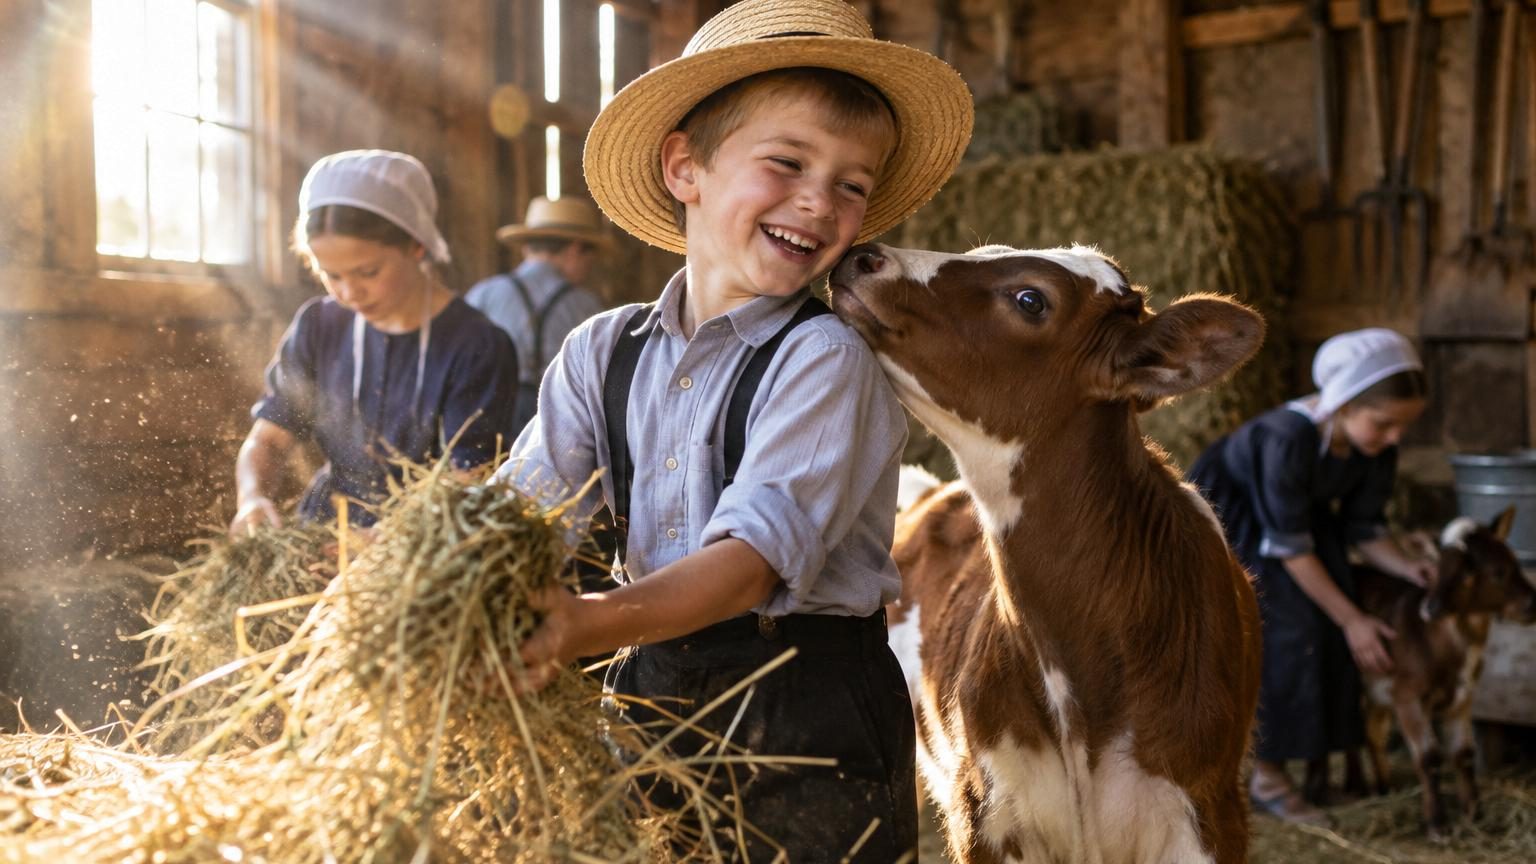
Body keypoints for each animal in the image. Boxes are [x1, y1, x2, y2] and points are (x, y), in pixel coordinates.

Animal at [1355, 507, 1536, 837]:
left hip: (1376, 685)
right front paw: (1437, 824)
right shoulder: (1407, 696)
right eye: (1438, 568)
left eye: (1507, 566)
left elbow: (1463, 755)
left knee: (1373, 731)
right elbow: (1429, 758)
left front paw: (1475, 815)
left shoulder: (1462, 699)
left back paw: (1384, 787)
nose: (1432, 607)